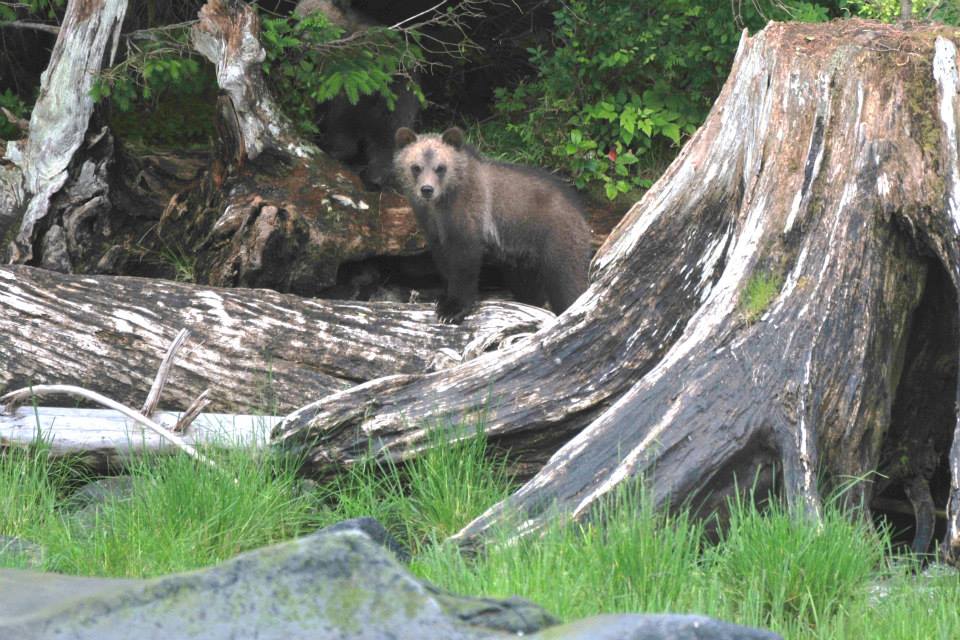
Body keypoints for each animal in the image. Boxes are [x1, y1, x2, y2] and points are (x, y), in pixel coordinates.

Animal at [393, 126, 592, 323]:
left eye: (440, 167)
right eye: (416, 167)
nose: (427, 189)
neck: (441, 203)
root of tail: (581, 212)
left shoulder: (468, 217)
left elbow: (464, 264)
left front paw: (452, 309)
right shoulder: (432, 226)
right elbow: (443, 262)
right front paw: (443, 298)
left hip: (555, 237)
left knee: (567, 282)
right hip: (522, 256)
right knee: (528, 287)